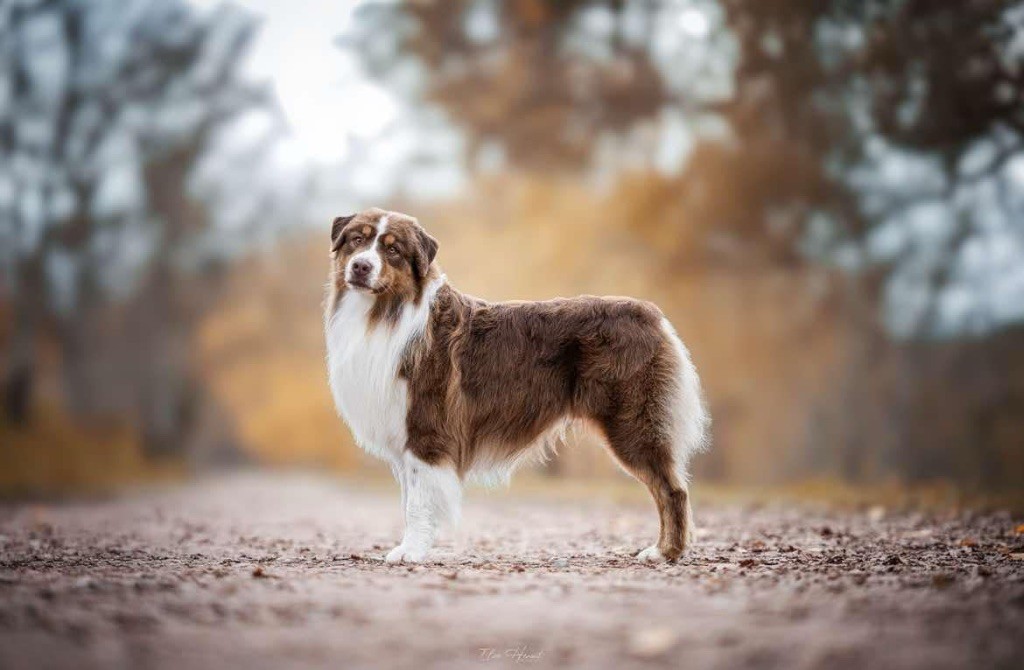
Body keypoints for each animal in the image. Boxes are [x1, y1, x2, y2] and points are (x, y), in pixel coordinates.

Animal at [323, 206, 708, 565]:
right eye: (356, 240)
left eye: (392, 250)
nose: (361, 267)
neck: (386, 314)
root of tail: (651, 314)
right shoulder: (406, 437)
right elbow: (408, 500)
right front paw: (410, 547)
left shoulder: (425, 431)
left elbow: (418, 503)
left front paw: (411, 552)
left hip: (632, 424)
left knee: (673, 490)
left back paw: (665, 552)